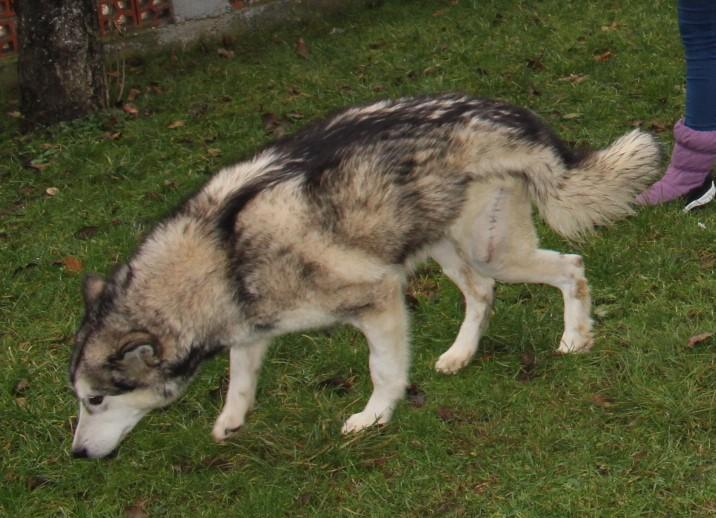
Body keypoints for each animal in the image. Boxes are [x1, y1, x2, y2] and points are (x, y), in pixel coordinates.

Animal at [68, 94, 660, 460]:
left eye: (95, 400)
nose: (76, 454)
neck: (222, 254)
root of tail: (510, 114)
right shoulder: (251, 324)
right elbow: (240, 377)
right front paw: (231, 420)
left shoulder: (380, 299)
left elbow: (384, 371)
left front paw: (374, 418)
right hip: (442, 245)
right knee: (482, 292)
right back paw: (460, 354)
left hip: (489, 250)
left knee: (570, 267)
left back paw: (575, 338)